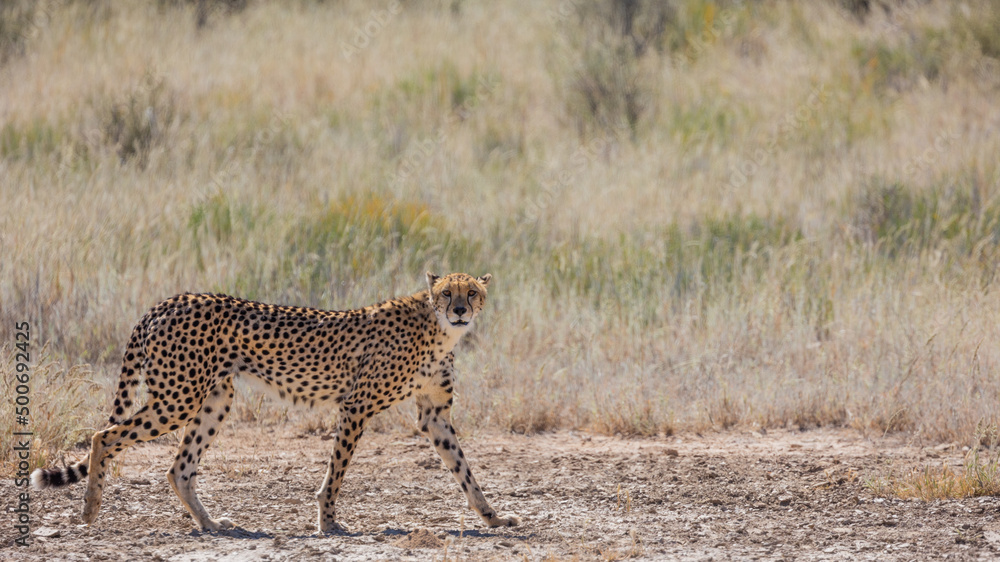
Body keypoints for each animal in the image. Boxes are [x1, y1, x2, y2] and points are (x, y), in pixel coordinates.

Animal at [31, 272, 520, 533]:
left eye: (472, 292)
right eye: (446, 293)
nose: (460, 310)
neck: (437, 330)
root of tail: (170, 299)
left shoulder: (434, 415)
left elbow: (464, 469)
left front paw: (492, 517)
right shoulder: (356, 406)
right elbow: (336, 472)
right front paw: (329, 522)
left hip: (214, 398)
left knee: (178, 467)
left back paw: (211, 524)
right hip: (178, 397)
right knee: (104, 435)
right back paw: (90, 509)